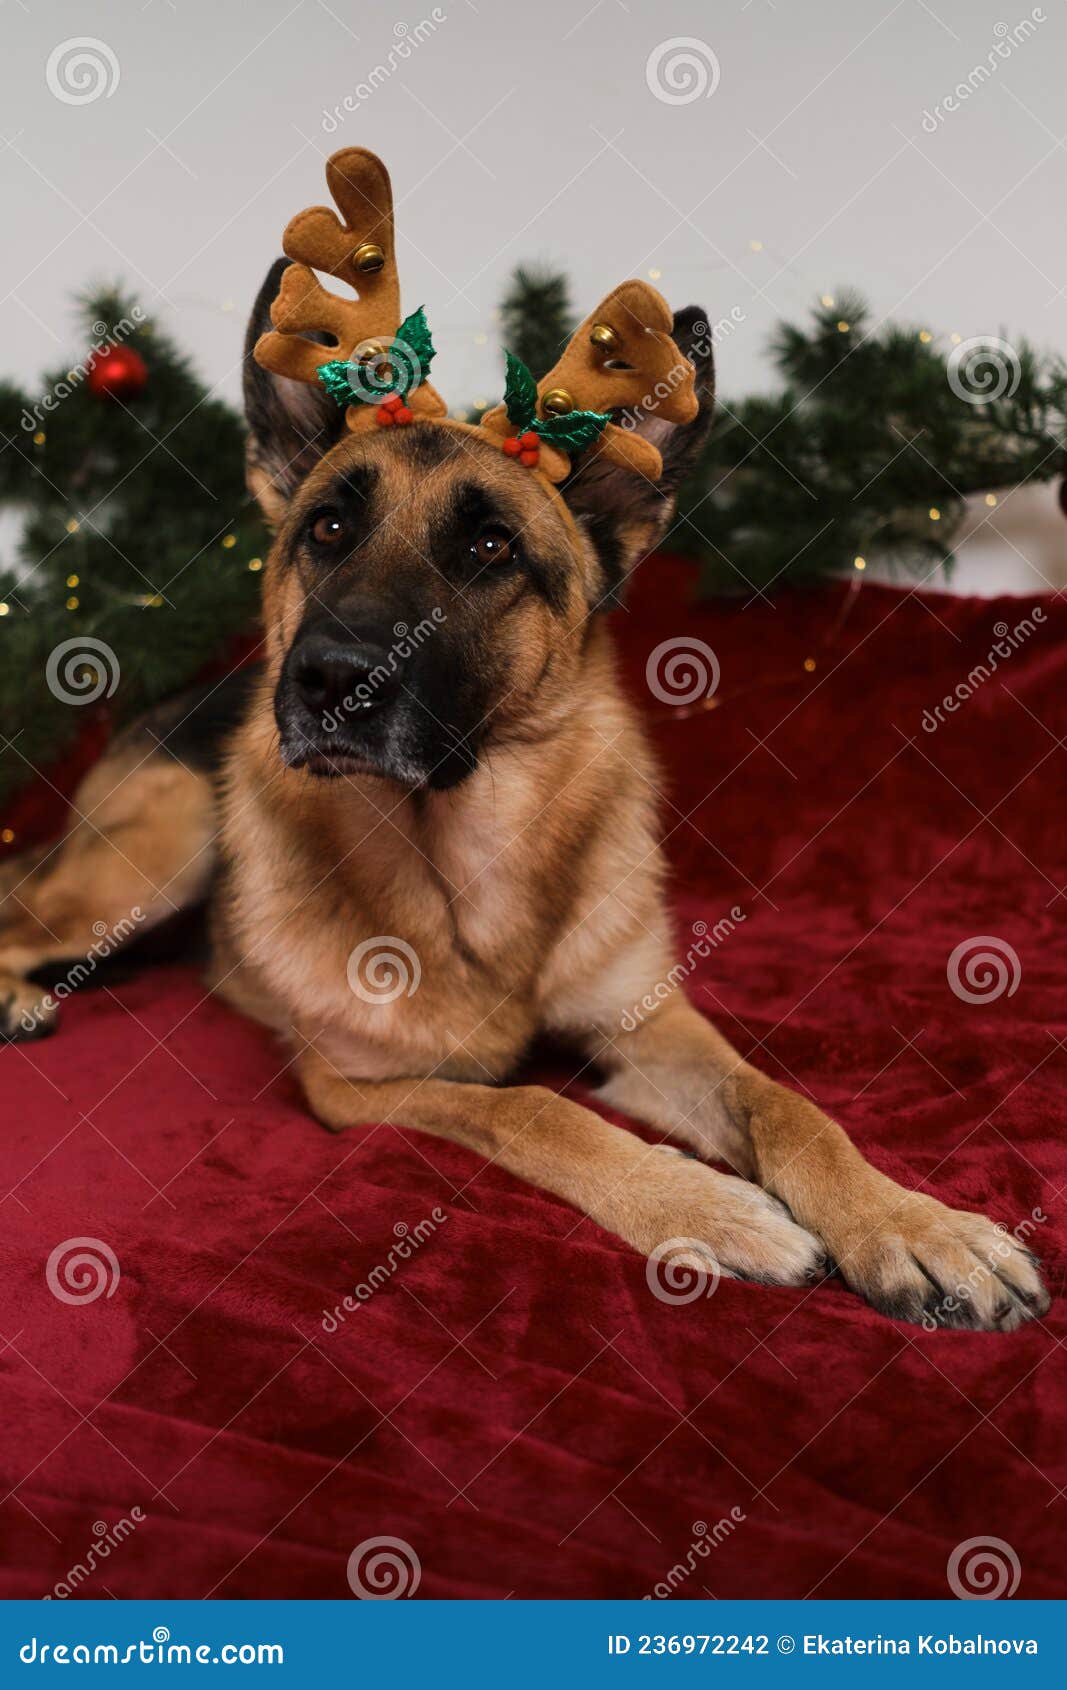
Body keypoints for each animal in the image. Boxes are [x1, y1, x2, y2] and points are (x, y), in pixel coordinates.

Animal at [0, 191, 1055, 1338]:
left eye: (491, 548)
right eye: (328, 527)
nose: (326, 681)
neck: (472, 859)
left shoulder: (656, 1026)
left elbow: (785, 1103)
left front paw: (910, 1224)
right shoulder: (360, 1087)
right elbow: (537, 1107)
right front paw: (704, 1205)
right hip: (161, 852)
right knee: (21, 914)